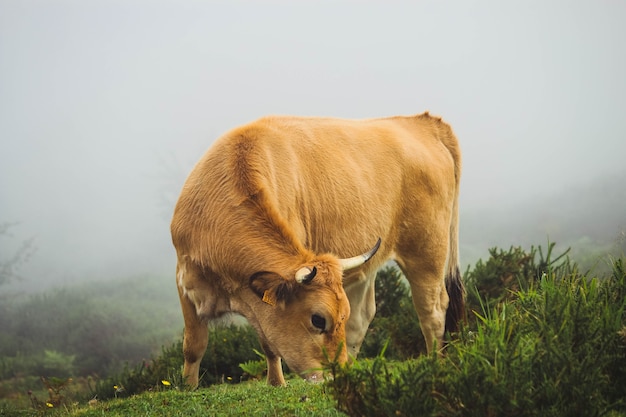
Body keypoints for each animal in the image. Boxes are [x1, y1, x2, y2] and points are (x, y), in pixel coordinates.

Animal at [171, 110, 464, 386]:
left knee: (432, 309)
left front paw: (276, 384)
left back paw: (435, 364)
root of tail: (422, 122)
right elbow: (193, 345)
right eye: (319, 320)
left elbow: (269, 344)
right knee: (363, 317)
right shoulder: (184, 279)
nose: (335, 374)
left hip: (427, 251)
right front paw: (188, 387)